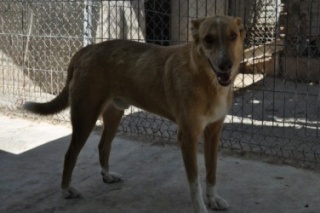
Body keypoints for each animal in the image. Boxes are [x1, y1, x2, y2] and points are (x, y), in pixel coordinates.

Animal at [23, 15, 245, 212]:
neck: (206, 79)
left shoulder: (213, 132)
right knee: (70, 154)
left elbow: (212, 173)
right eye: (209, 39)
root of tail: (87, 49)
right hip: (85, 117)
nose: (226, 64)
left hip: (114, 115)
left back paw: (107, 175)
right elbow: (195, 182)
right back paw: (66, 189)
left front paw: (213, 200)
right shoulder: (187, 137)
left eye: (233, 36)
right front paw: (200, 208)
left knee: (103, 146)